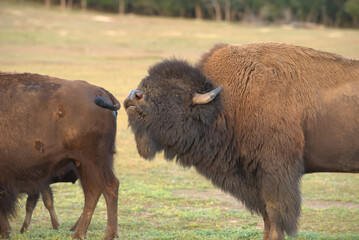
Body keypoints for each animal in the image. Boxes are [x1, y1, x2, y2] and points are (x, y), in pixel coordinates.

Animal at [0, 72, 121, 239]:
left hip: (95, 160)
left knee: (110, 187)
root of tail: (102, 92)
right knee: (92, 192)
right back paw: (78, 234)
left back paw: (108, 234)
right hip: (82, 163)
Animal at [124, 43, 359, 240]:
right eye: (145, 82)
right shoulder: (256, 179)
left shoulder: (277, 174)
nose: (134, 97)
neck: (224, 102)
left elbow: (275, 216)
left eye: (176, 94)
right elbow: (266, 217)